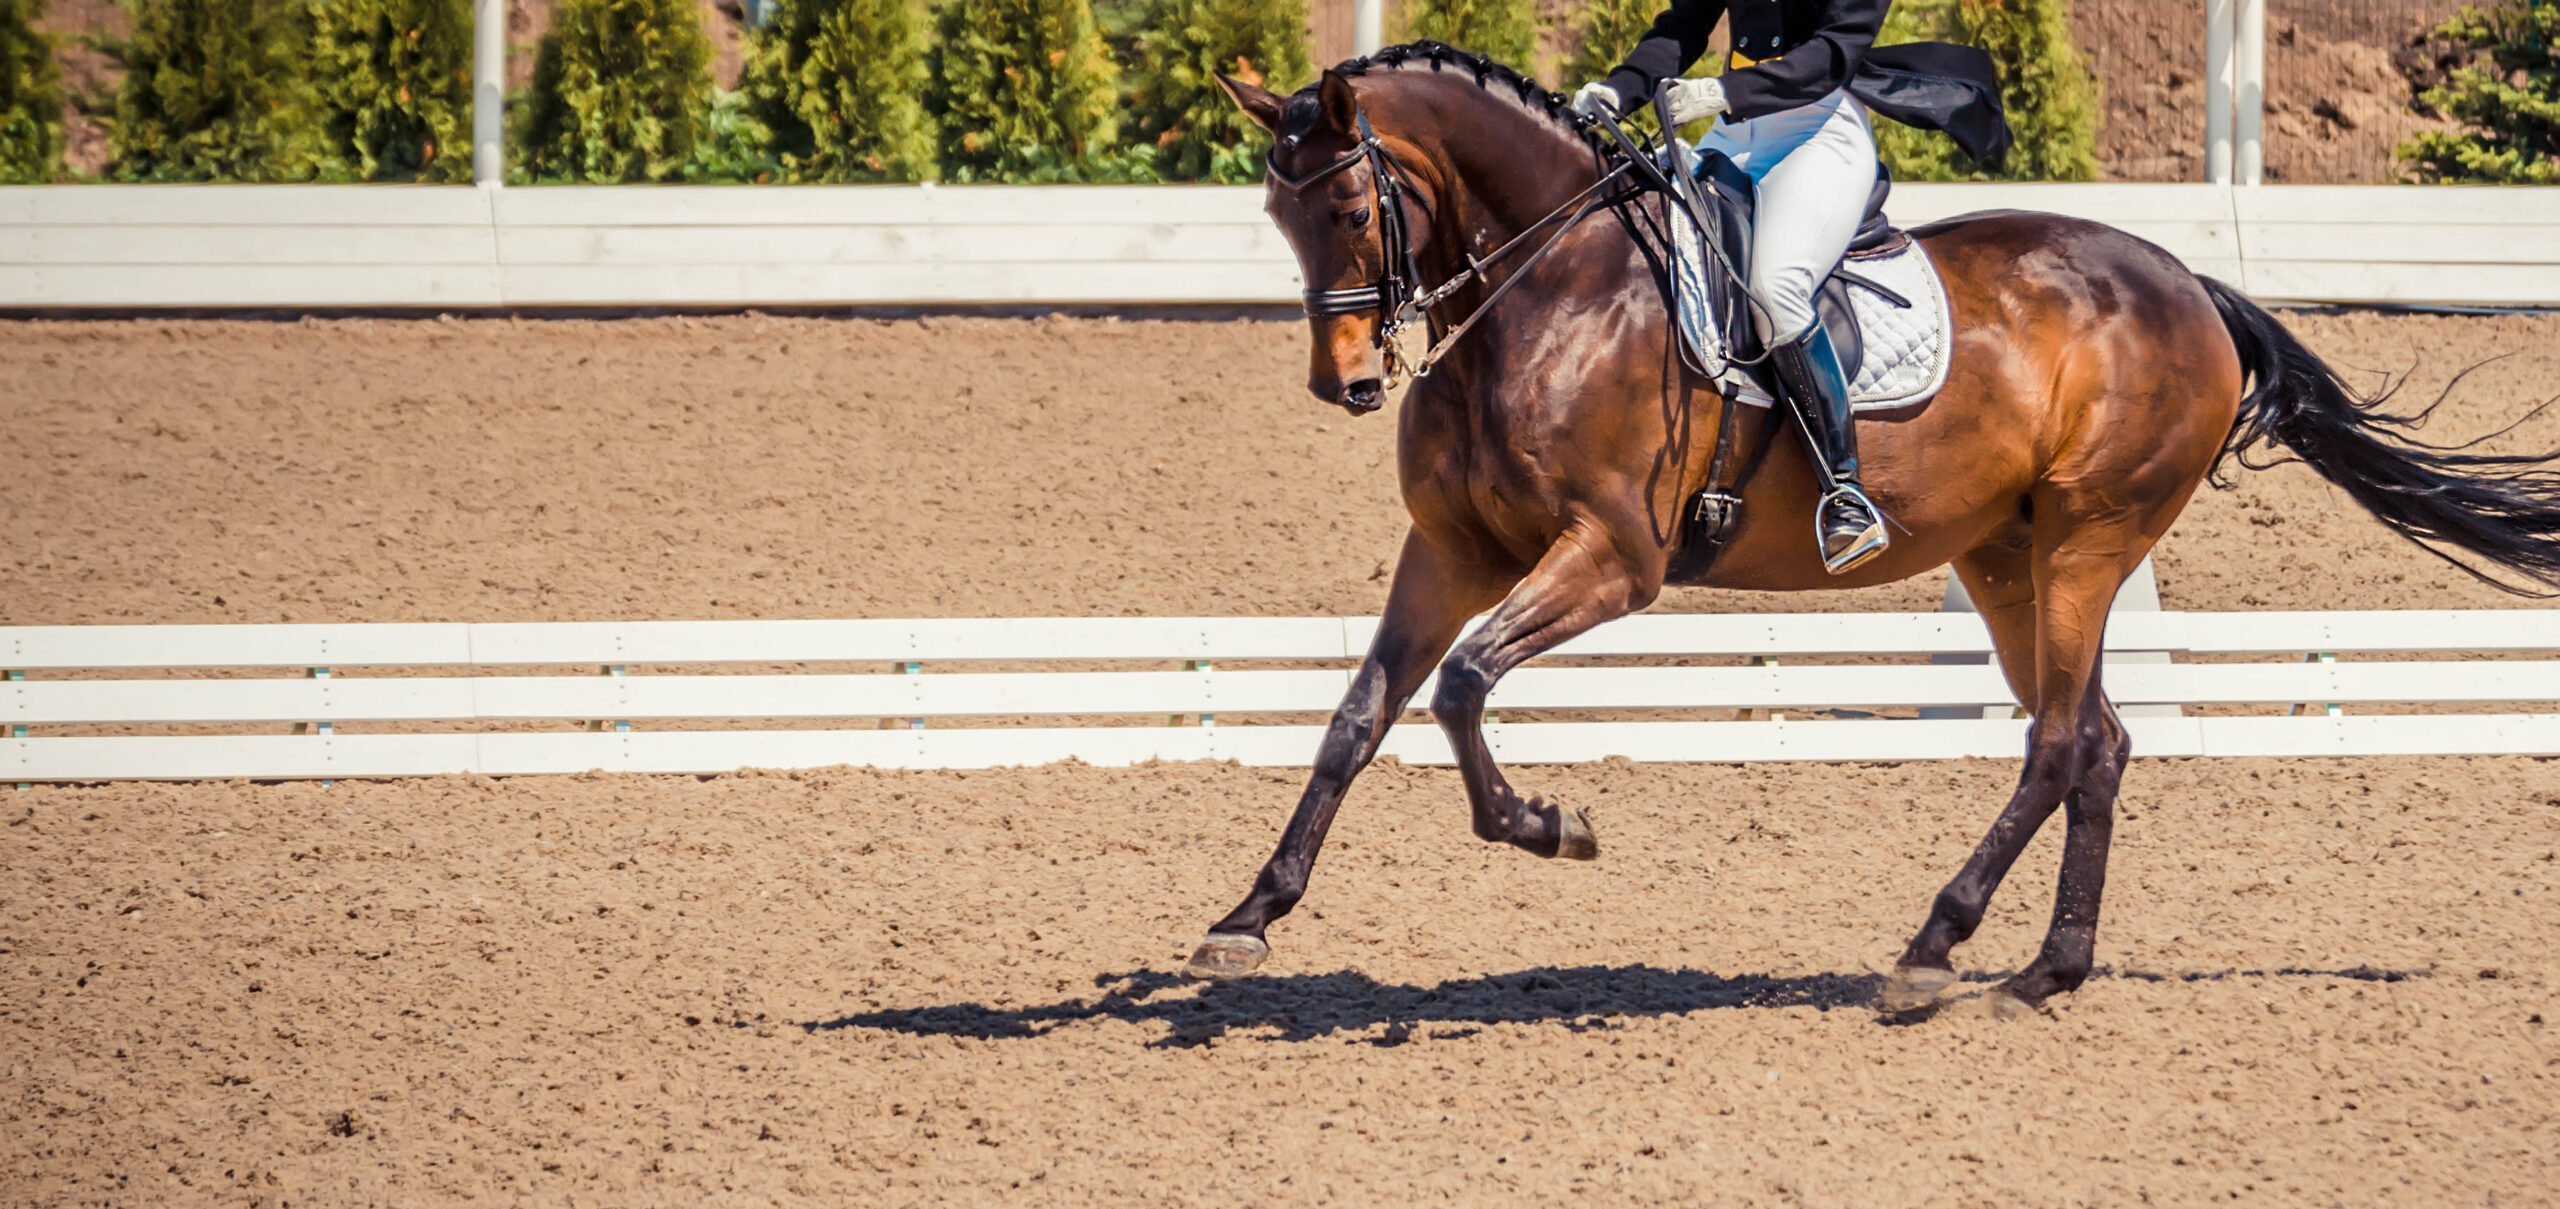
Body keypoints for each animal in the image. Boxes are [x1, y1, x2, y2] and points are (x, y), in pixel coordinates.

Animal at [1187, 42, 2560, 1014]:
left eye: (1352, 211)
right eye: (1277, 220)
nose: (1345, 383)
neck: (1552, 287)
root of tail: (2191, 287)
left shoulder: (1613, 560)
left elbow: (1464, 684)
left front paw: (1547, 826)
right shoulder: (1451, 552)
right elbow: (1361, 712)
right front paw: (1246, 919)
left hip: (2088, 539)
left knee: (2059, 741)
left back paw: (1931, 950)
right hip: (2005, 557)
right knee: (2102, 741)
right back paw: (2040, 973)